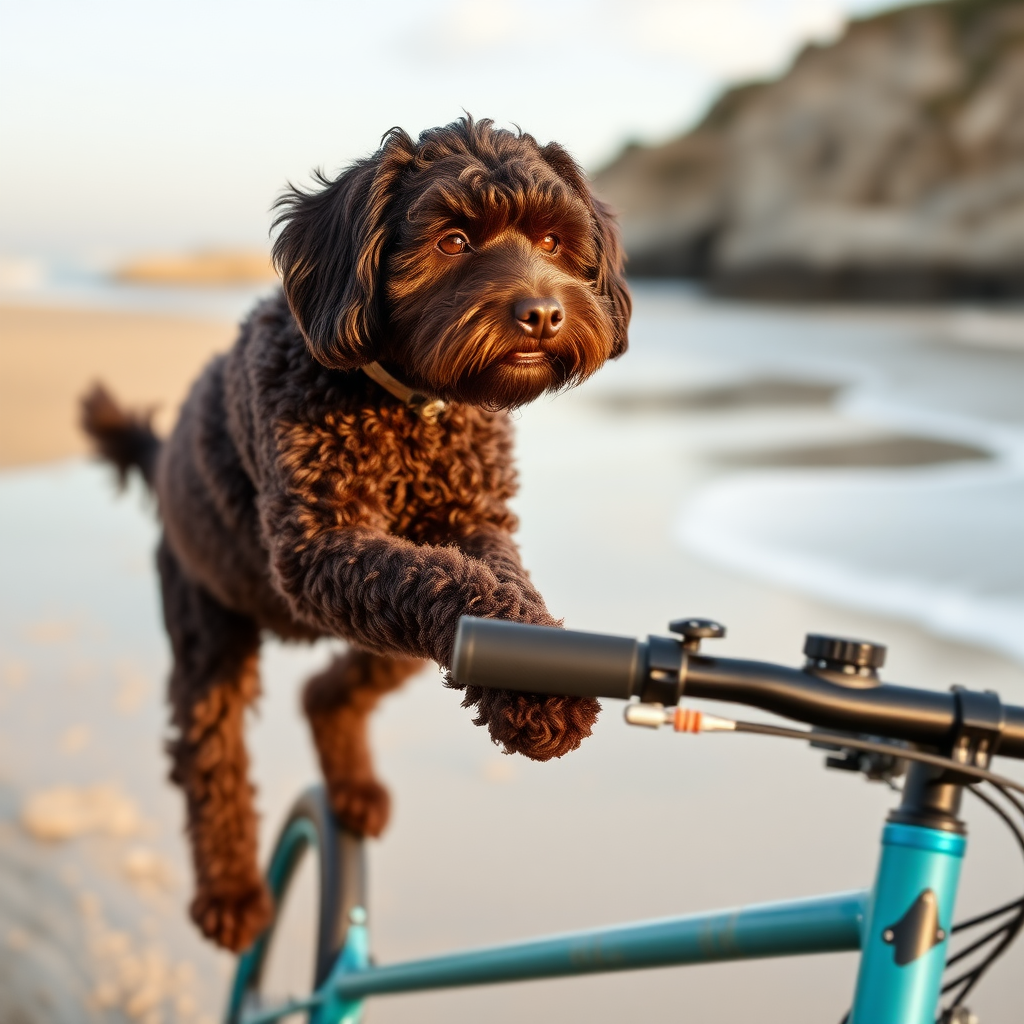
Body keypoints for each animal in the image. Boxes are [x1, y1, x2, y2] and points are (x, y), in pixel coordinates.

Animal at [83, 117, 630, 950]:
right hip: (206, 616)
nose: (542, 312)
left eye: (552, 239)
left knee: (332, 690)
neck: (411, 407)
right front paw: (538, 691)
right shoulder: (318, 548)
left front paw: (537, 677)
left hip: (380, 637)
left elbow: (493, 587)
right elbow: (444, 581)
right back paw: (231, 892)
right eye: (453, 240)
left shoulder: (472, 525)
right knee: (210, 753)